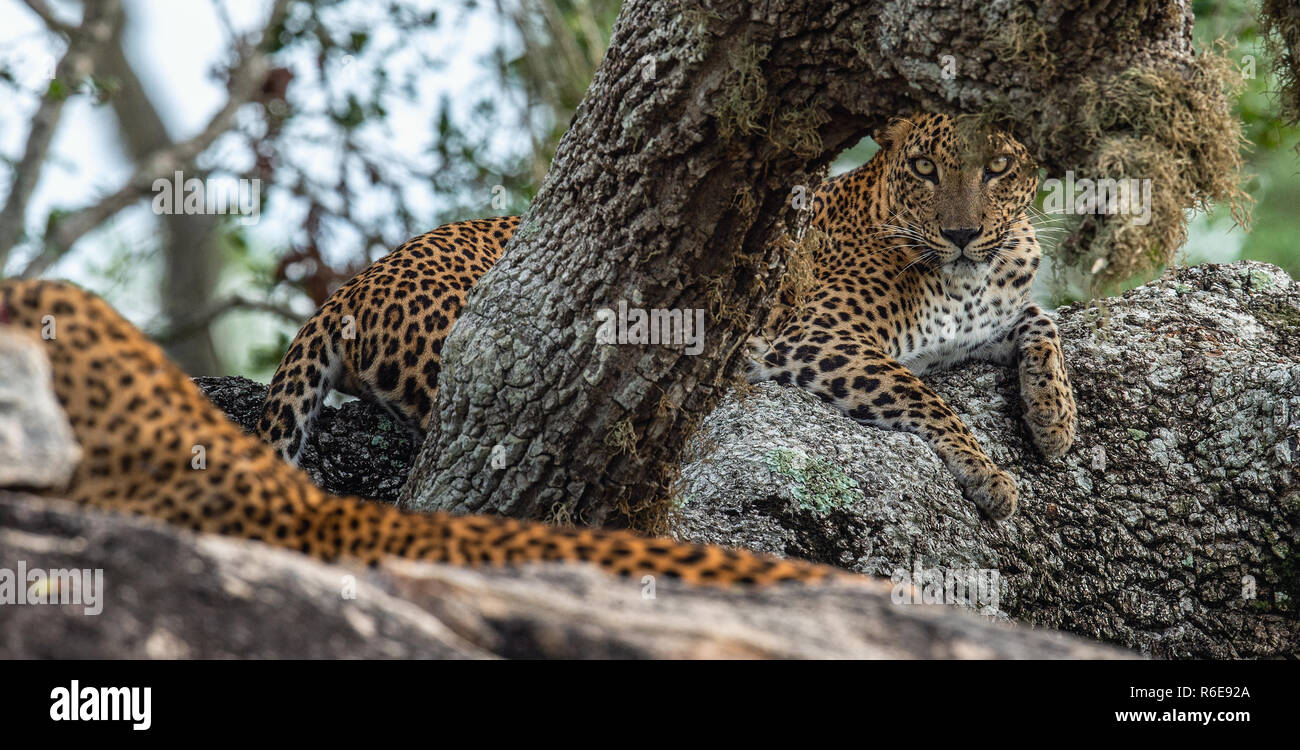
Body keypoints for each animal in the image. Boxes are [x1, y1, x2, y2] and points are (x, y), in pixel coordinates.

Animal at [258, 112, 1074, 521]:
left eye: (998, 169)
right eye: (924, 170)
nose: (962, 233)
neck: (969, 275)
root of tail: (355, 284)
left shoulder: (989, 314)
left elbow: (1044, 320)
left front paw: (1053, 417)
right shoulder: (814, 338)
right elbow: (921, 393)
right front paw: (987, 474)